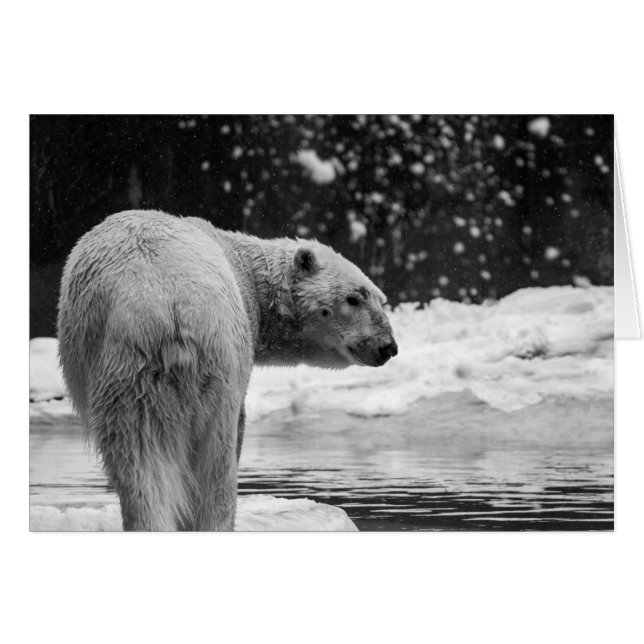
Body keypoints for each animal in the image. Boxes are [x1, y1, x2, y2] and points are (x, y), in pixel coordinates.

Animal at [57, 210, 398, 531]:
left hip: (150, 375)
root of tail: (174, 310)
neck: (245, 268)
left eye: (381, 299)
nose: (388, 347)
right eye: (353, 297)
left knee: (142, 458)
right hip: (190, 365)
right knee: (212, 456)